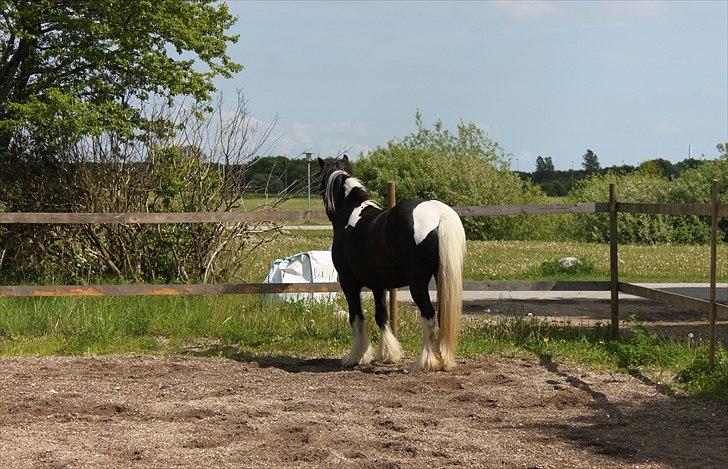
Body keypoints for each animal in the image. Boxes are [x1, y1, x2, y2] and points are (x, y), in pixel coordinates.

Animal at [318, 155, 466, 372]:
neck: (350, 214)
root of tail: (438, 214)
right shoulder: (378, 285)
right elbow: (381, 316)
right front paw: (387, 354)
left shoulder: (348, 282)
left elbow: (356, 317)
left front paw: (356, 357)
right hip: (442, 277)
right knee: (440, 316)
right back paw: (443, 359)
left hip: (418, 283)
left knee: (428, 315)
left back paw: (426, 362)